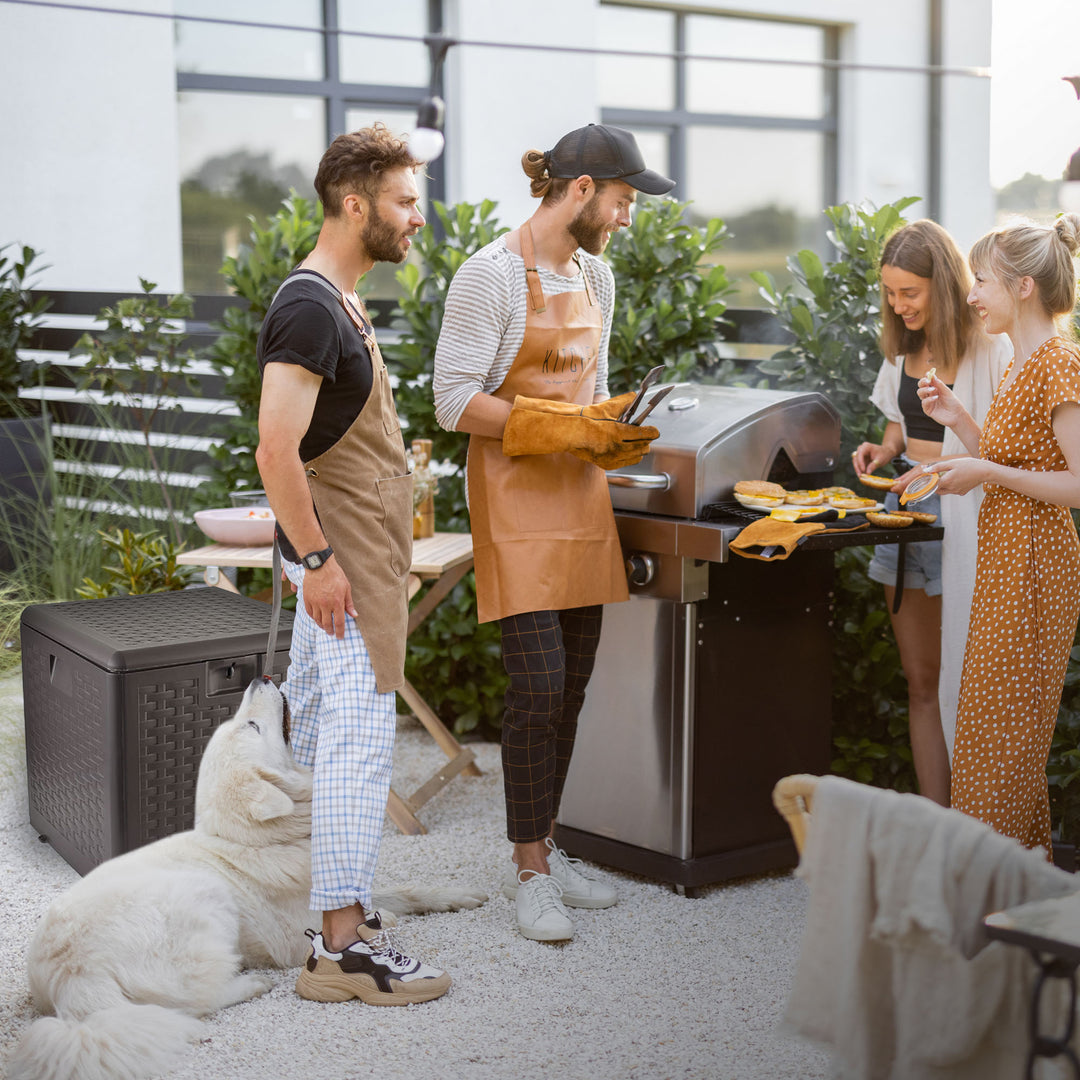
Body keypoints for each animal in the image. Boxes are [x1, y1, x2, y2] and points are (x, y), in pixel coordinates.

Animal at [7, 678, 490, 1080]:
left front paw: (460, 895)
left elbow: (408, 891)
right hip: (205, 897)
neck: (263, 837)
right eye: (254, 726)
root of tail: (72, 977)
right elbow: (376, 919)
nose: (262, 678)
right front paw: (384, 925)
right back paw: (250, 984)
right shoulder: (296, 936)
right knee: (197, 1001)